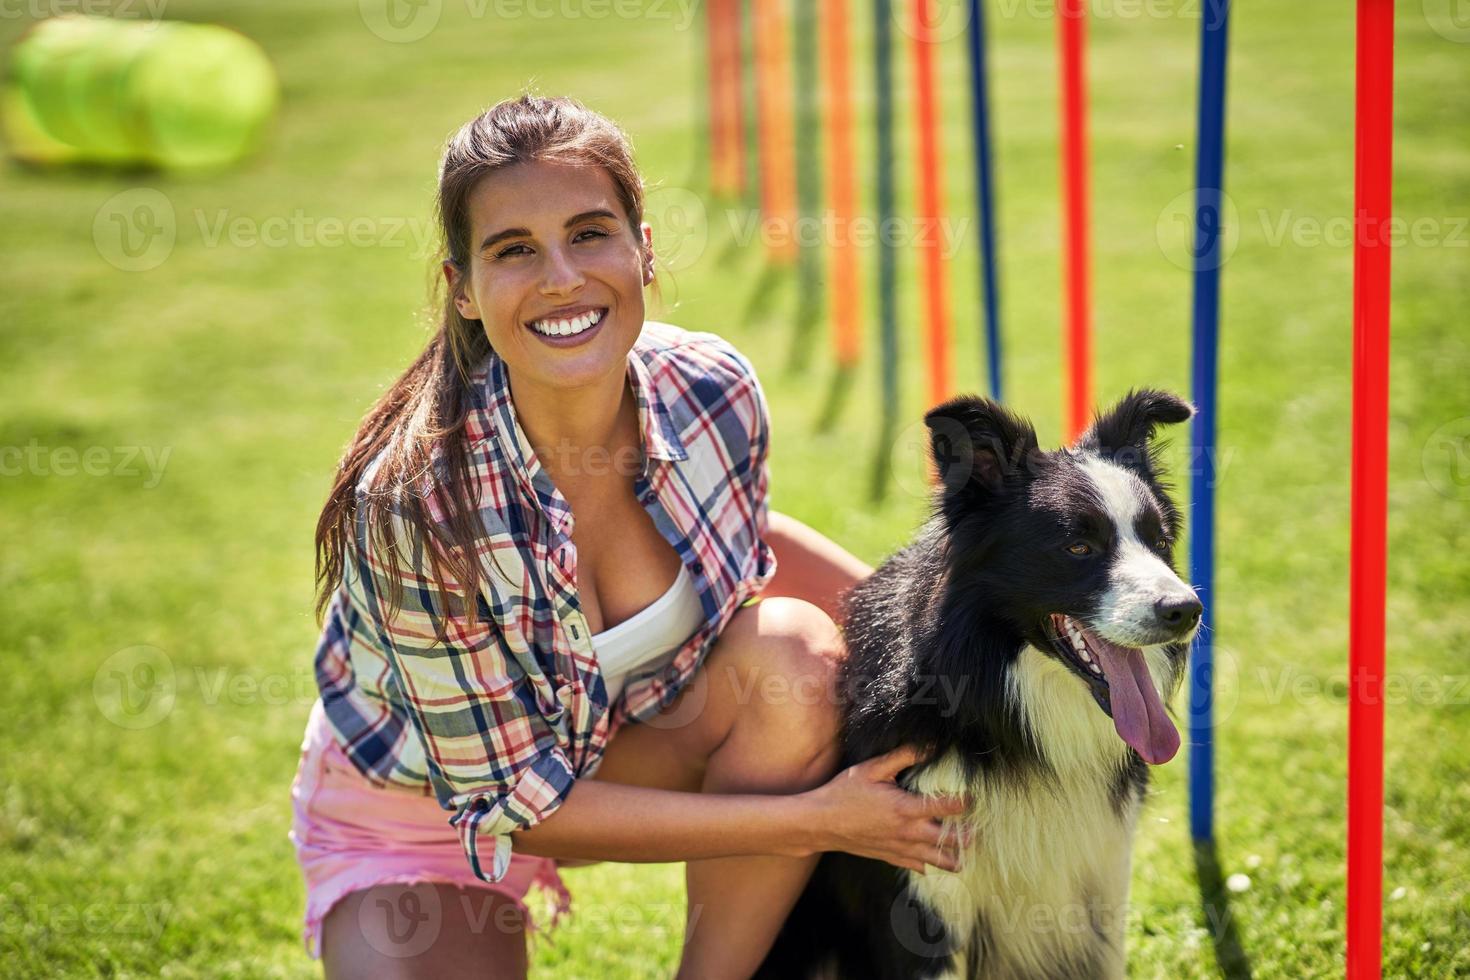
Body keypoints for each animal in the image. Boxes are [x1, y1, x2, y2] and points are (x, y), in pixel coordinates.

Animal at [758, 387, 1205, 975]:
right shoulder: (923, 898)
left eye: (1159, 539)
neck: (1006, 711)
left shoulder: (1102, 891)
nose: (1188, 610)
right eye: (1079, 547)